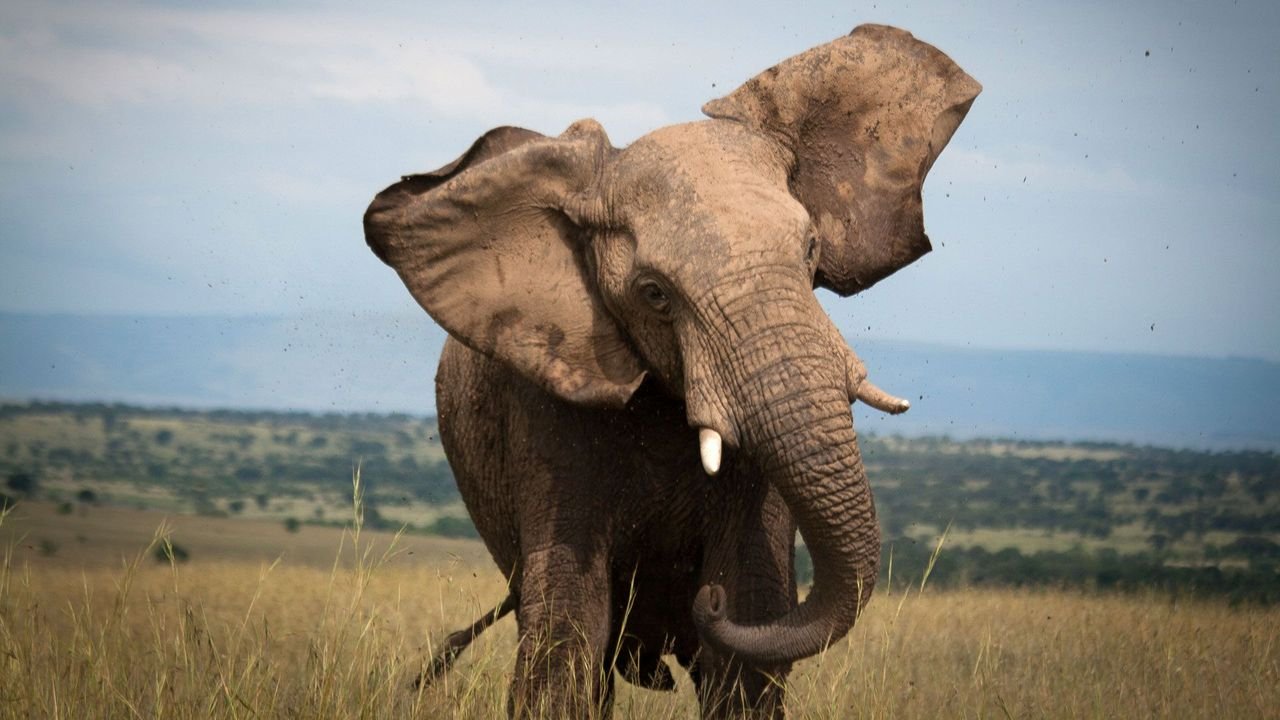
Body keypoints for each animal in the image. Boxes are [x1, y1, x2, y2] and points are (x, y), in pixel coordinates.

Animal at [364, 24, 979, 719]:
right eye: (655, 293)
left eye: (811, 251)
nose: (703, 602)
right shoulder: (544, 396)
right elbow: (569, 618)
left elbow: (751, 609)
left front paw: (725, 603)